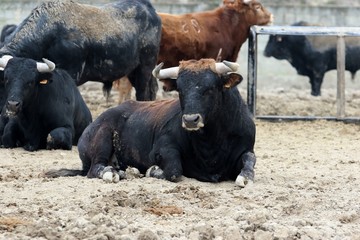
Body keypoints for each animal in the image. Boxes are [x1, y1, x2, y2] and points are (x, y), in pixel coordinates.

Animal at [0, 0, 161, 100]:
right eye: (5, 79)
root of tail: (148, 7)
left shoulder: (72, 72)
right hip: (133, 71)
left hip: (145, 67)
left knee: (143, 93)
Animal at [46, 58, 258, 188]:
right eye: (180, 89)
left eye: (211, 88)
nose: (190, 120)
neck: (211, 142)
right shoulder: (163, 148)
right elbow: (174, 171)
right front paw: (153, 170)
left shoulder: (246, 149)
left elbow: (249, 160)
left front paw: (244, 177)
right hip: (103, 138)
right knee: (95, 169)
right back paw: (114, 173)